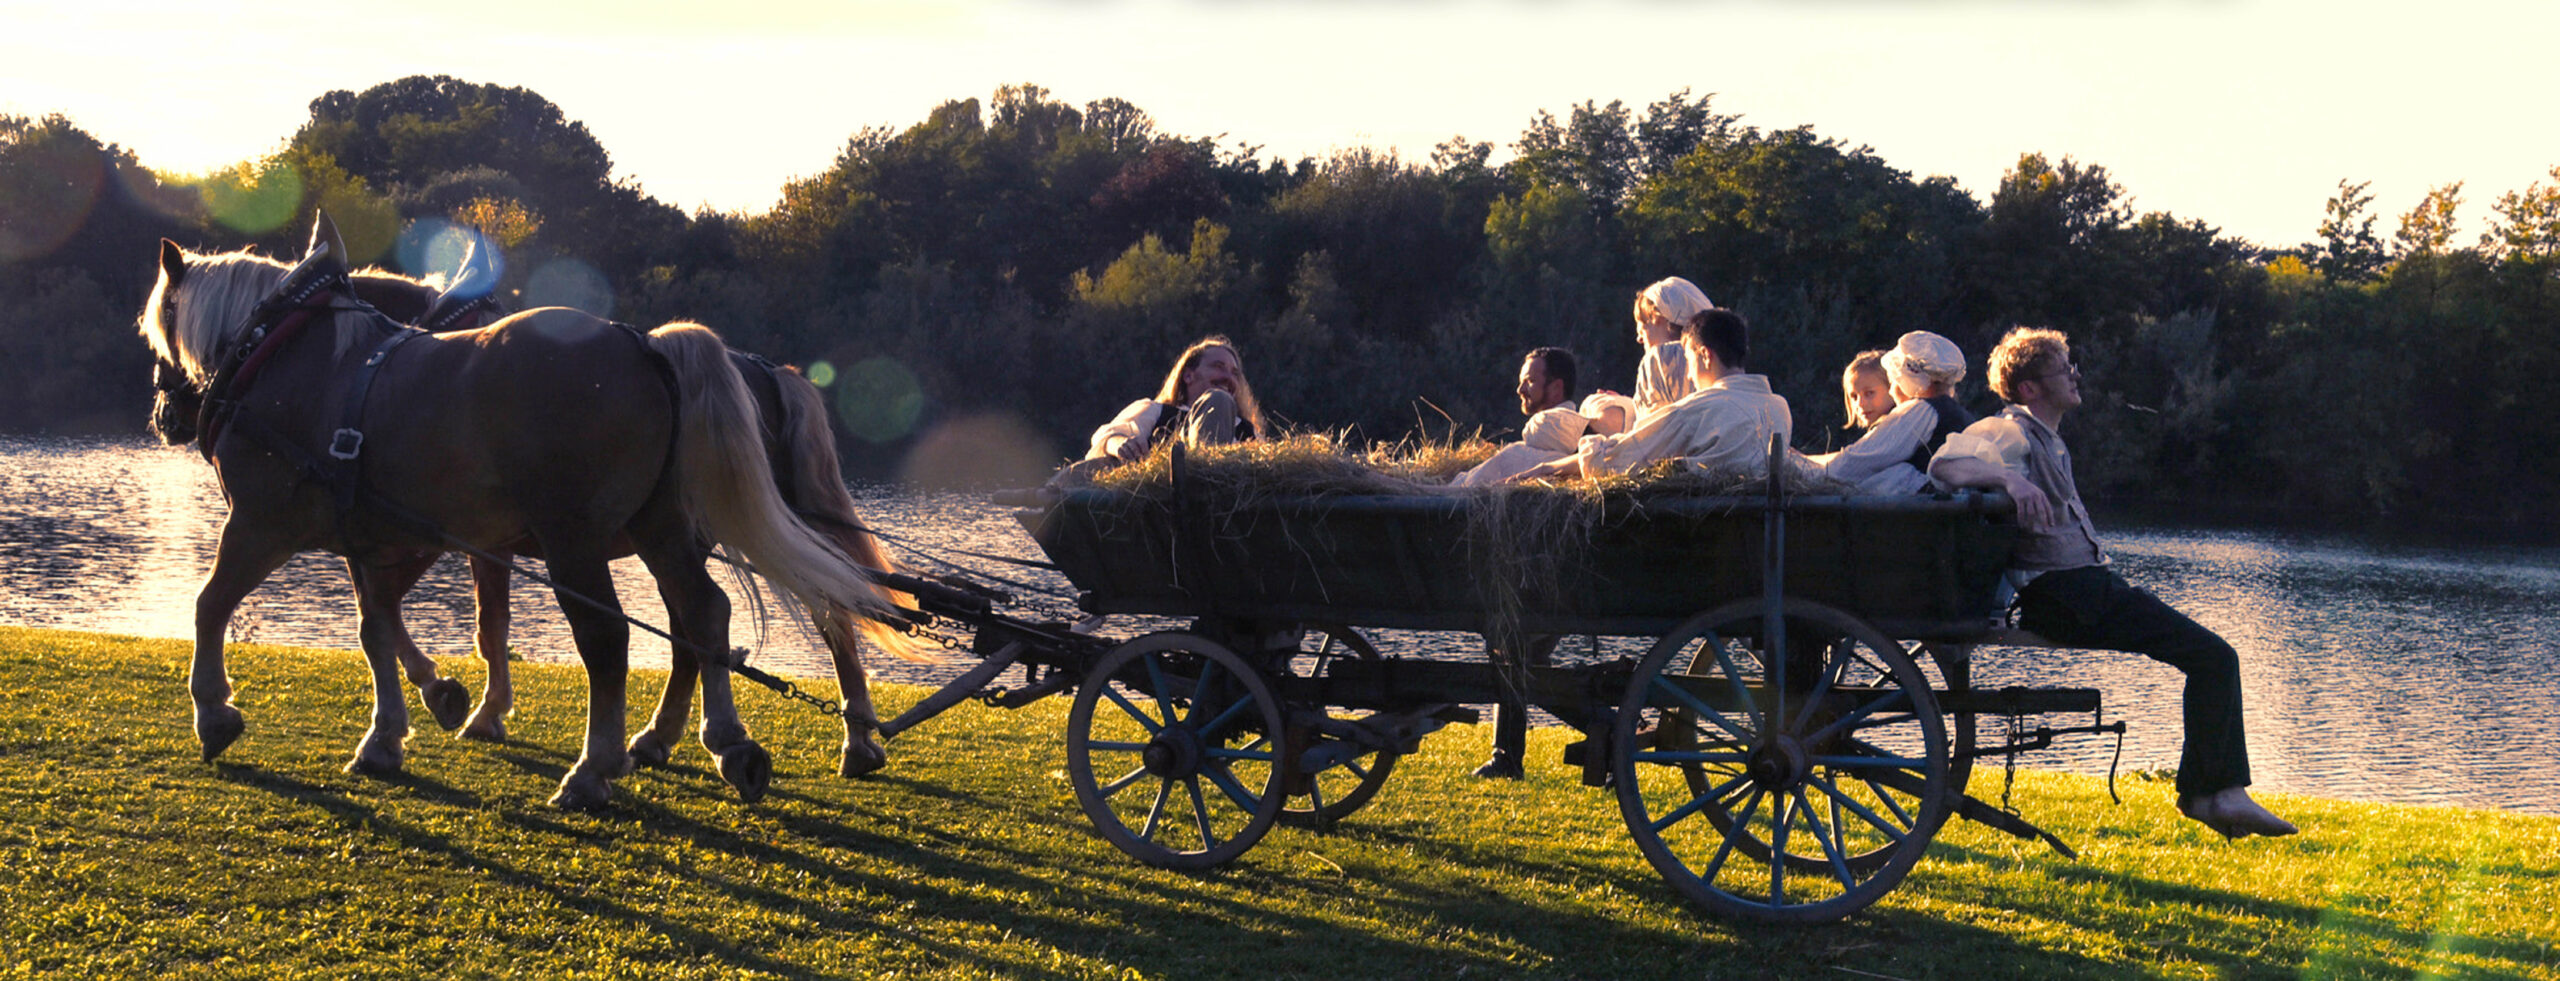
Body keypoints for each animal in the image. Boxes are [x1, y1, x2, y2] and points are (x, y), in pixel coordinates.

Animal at [137, 215, 911, 809]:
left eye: (156, 330)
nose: (166, 412)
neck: (287, 352)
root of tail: (648, 346)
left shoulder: (262, 524)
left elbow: (212, 605)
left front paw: (213, 709)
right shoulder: (380, 538)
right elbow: (378, 628)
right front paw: (400, 726)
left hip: (579, 542)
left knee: (618, 638)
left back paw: (599, 767)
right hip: (662, 531)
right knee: (705, 614)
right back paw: (719, 742)